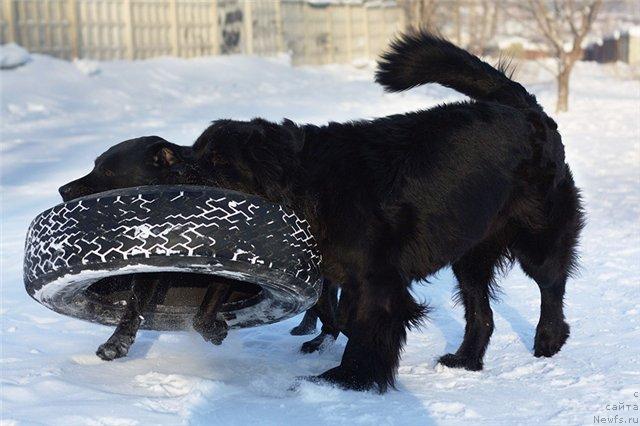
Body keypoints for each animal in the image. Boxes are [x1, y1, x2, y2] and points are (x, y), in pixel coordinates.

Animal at [58, 136, 234, 360]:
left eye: (107, 172)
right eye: (94, 165)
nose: (63, 189)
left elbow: (205, 311)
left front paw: (215, 329)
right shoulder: (149, 264)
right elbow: (134, 305)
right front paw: (117, 343)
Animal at [190, 29, 584, 392]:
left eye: (219, 163)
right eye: (197, 153)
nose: (182, 174)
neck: (312, 188)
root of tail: (526, 111)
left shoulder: (377, 281)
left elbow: (365, 332)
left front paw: (346, 379)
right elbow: (341, 317)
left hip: (537, 237)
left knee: (551, 285)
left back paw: (549, 339)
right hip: (469, 254)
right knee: (482, 314)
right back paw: (466, 360)